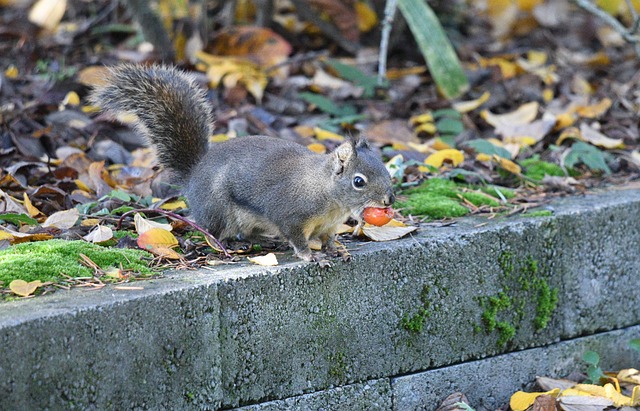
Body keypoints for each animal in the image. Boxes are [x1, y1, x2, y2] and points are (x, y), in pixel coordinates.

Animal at [90, 66, 396, 262]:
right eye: (358, 181)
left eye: (384, 168)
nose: (389, 200)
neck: (328, 195)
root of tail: (194, 176)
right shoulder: (291, 215)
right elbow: (298, 239)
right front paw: (311, 257)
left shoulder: (329, 226)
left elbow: (329, 239)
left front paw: (337, 250)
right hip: (218, 209)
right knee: (214, 231)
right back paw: (223, 243)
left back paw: (265, 240)